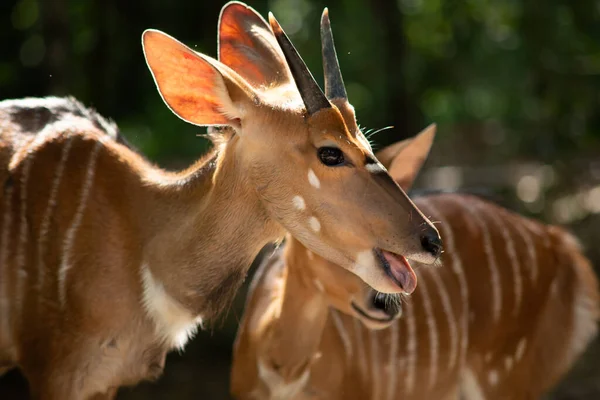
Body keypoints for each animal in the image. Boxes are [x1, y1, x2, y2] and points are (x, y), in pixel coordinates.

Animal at [0, 3, 440, 400]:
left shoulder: (101, 381)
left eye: (365, 139)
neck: (141, 237)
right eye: (330, 152)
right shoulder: (58, 369)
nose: (431, 241)